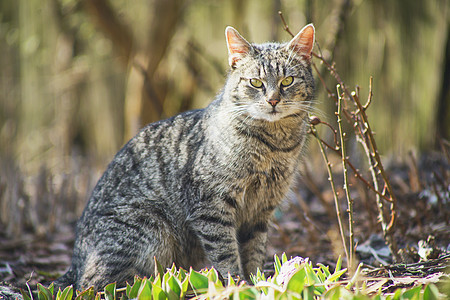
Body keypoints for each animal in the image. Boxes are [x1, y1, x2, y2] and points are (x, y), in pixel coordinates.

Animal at [56, 22, 314, 290]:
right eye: (255, 82)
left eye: (287, 80)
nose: (273, 100)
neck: (275, 145)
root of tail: (74, 262)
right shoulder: (210, 204)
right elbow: (225, 252)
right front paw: (237, 284)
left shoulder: (262, 211)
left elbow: (254, 251)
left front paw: (258, 282)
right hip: (149, 227)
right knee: (94, 284)